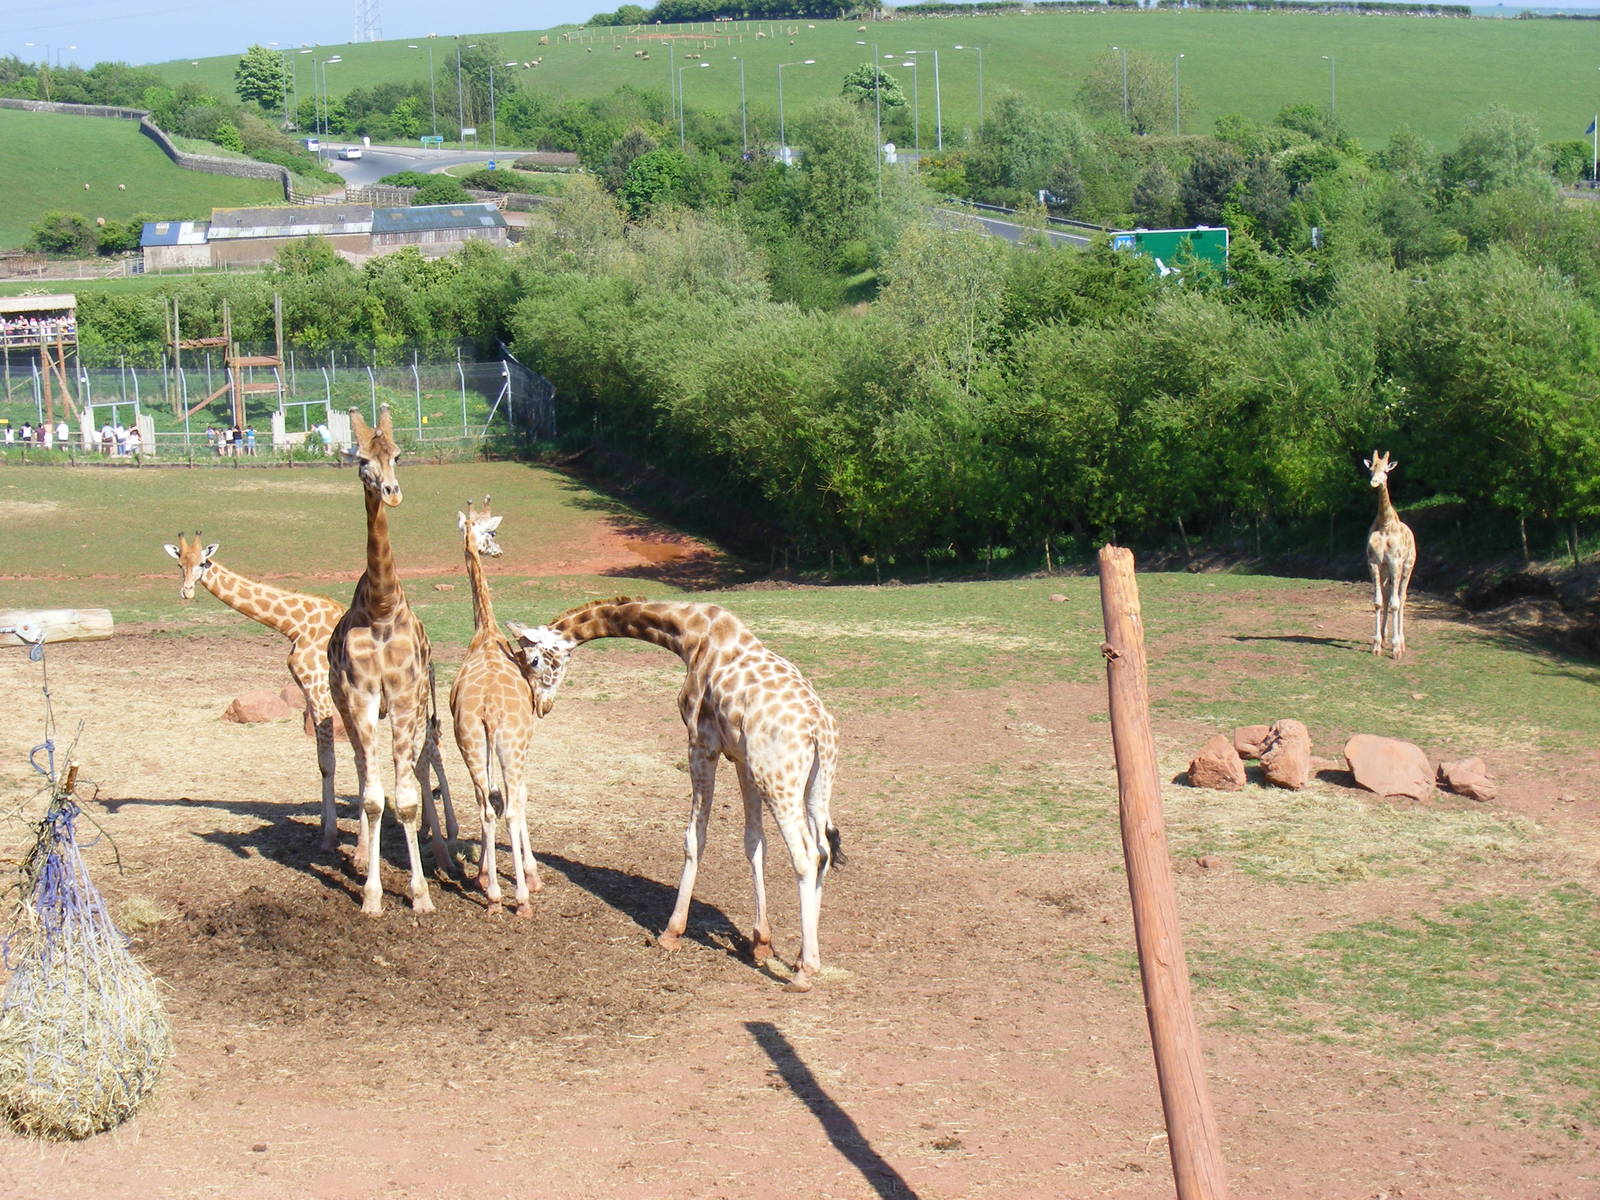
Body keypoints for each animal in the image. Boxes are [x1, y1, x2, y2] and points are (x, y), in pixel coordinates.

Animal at [162, 533, 457, 853]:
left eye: (203, 562)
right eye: (180, 563)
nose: (187, 592)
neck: (293, 624)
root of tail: (430, 656)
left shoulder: (319, 690)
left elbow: (329, 762)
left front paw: (331, 836)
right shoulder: (312, 693)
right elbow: (331, 760)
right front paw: (331, 830)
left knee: (429, 751)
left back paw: (443, 835)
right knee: (429, 750)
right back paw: (428, 830)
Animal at [507, 597, 843, 992]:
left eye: (534, 660)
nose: (541, 706)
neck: (692, 634)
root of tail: (817, 728)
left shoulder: (701, 743)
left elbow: (694, 837)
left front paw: (671, 932)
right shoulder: (742, 758)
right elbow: (754, 842)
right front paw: (760, 942)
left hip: (778, 780)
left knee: (805, 857)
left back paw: (804, 974)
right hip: (815, 785)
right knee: (822, 851)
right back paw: (806, 959)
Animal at [1365, 449, 1417, 660]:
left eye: (1386, 469)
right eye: (1371, 468)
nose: (1374, 482)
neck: (1385, 524)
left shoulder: (1395, 562)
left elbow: (1395, 603)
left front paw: (1395, 649)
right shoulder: (1374, 563)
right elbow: (1379, 602)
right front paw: (1377, 645)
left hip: (1407, 567)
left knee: (1401, 598)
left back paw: (1401, 643)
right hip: (1386, 570)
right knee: (1388, 595)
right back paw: (1385, 638)